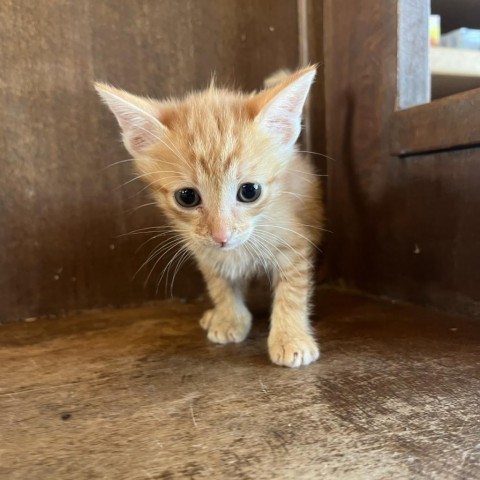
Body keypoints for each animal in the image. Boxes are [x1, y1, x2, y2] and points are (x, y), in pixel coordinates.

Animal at [95, 66, 324, 368]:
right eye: (187, 197)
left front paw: (290, 337)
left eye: (249, 191)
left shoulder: (294, 243)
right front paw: (229, 318)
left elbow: (292, 291)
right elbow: (219, 284)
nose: (221, 235)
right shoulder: (203, 249)